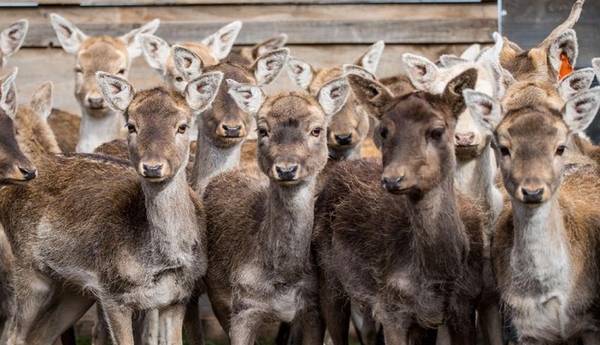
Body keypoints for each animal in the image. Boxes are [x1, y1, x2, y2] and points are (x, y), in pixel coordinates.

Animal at [0, 67, 223, 344]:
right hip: (28, 270)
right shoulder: (113, 293)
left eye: (182, 126)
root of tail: (7, 189)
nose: (152, 166)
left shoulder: (179, 296)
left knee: (40, 335)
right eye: (131, 125)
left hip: (74, 289)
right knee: (12, 334)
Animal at [202, 71, 352, 342]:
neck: (283, 278)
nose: (286, 168)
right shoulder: (242, 308)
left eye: (317, 130)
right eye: (263, 129)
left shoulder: (312, 308)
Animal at [314, 68, 488, 344]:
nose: (392, 178)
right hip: (327, 273)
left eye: (437, 130)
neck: (439, 274)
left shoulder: (465, 302)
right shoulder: (391, 307)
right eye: (384, 130)